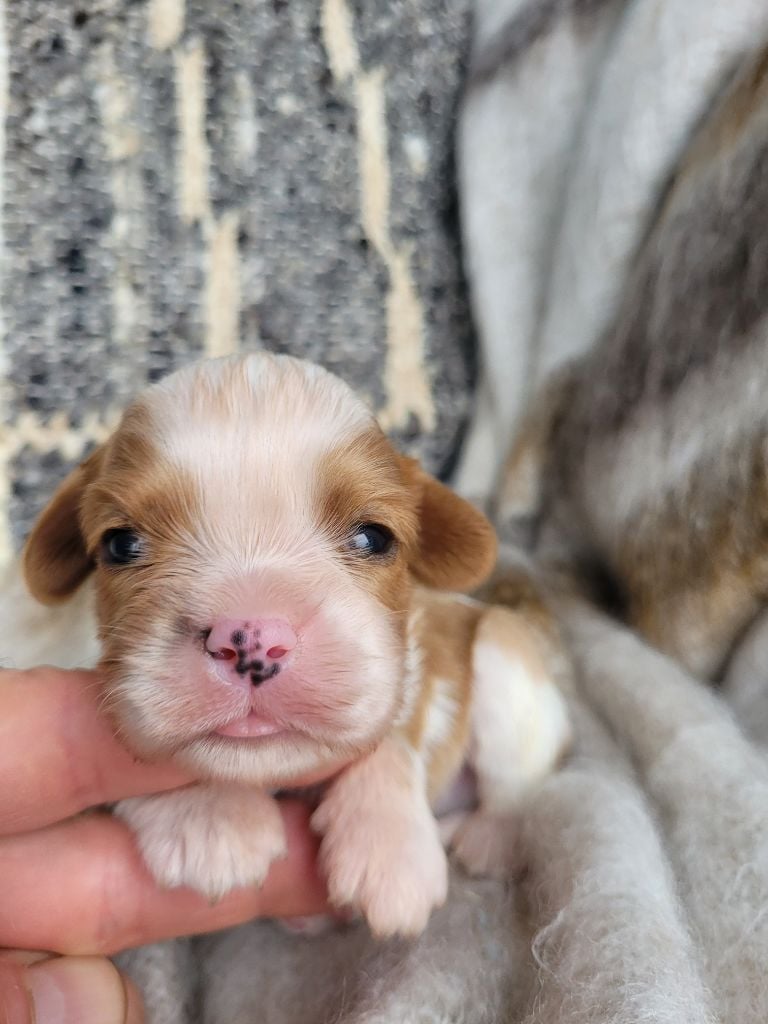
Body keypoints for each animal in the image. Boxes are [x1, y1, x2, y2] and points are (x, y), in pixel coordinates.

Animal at [22, 354, 573, 937]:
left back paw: (487, 840)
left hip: (501, 655)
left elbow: (391, 736)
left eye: (373, 537)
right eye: (121, 544)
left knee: (516, 781)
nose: (252, 638)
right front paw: (211, 815)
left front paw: (390, 847)